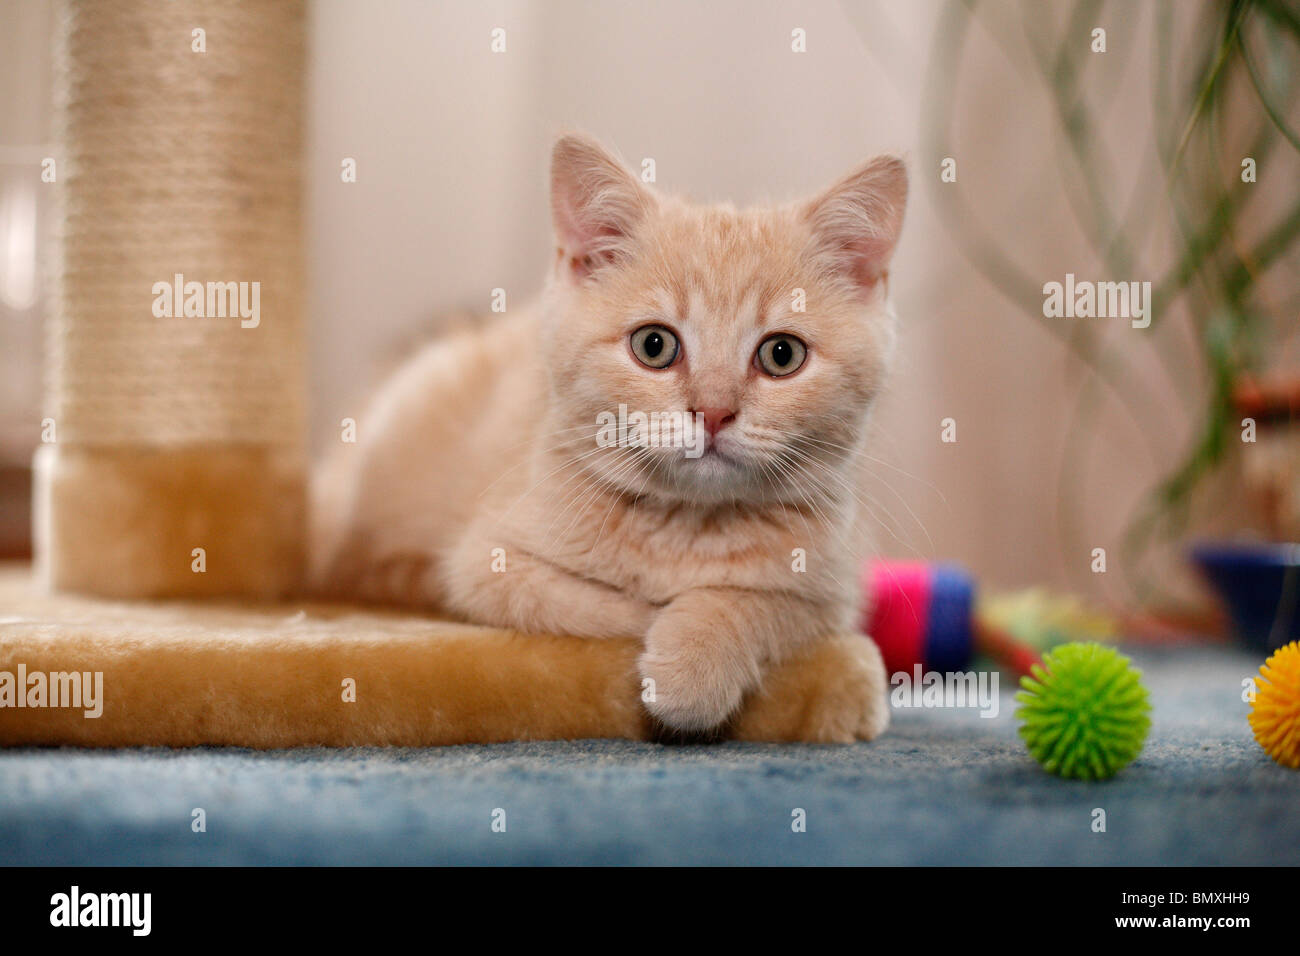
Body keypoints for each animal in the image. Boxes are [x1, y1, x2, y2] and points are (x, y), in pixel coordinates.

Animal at [313, 132, 904, 733]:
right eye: (654, 345)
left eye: (782, 355)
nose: (714, 412)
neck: (687, 526)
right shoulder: (486, 563)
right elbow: (604, 606)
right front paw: (661, 626)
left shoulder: (834, 592)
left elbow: (764, 603)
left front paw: (695, 658)